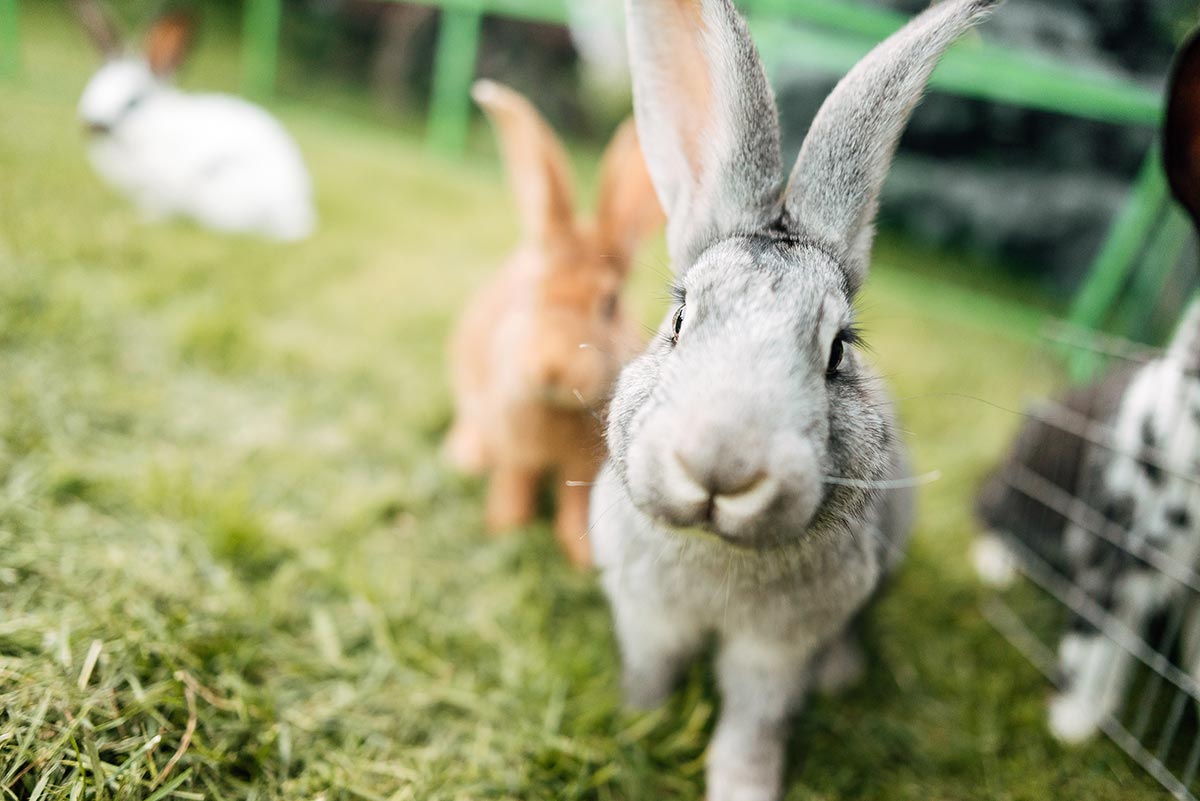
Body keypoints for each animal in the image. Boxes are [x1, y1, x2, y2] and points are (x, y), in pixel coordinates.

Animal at [69, 2, 314, 241]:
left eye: (133, 102)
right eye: (93, 88)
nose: (94, 125)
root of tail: (296, 215)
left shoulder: (163, 183)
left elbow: (159, 205)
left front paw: (144, 219)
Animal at [446, 81, 662, 565]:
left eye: (610, 304)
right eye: (533, 291)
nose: (551, 368)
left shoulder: (583, 467)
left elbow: (575, 503)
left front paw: (582, 557)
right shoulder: (514, 445)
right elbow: (514, 483)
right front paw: (505, 528)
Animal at [592, 1, 1003, 801]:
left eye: (838, 350)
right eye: (680, 319)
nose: (721, 467)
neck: (718, 555)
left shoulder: (777, 652)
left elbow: (754, 726)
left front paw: (744, 787)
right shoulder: (646, 617)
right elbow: (650, 675)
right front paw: (633, 724)